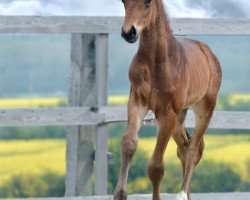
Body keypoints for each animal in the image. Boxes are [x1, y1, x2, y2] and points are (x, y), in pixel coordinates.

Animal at [114, 0, 222, 199]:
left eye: (148, 2)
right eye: (123, 2)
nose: (129, 32)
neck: (156, 60)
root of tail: (210, 54)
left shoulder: (166, 113)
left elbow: (156, 167)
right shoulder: (137, 102)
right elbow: (129, 144)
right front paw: (120, 193)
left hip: (204, 108)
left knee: (194, 149)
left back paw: (181, 194)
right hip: (180, 116)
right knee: (184, 148)